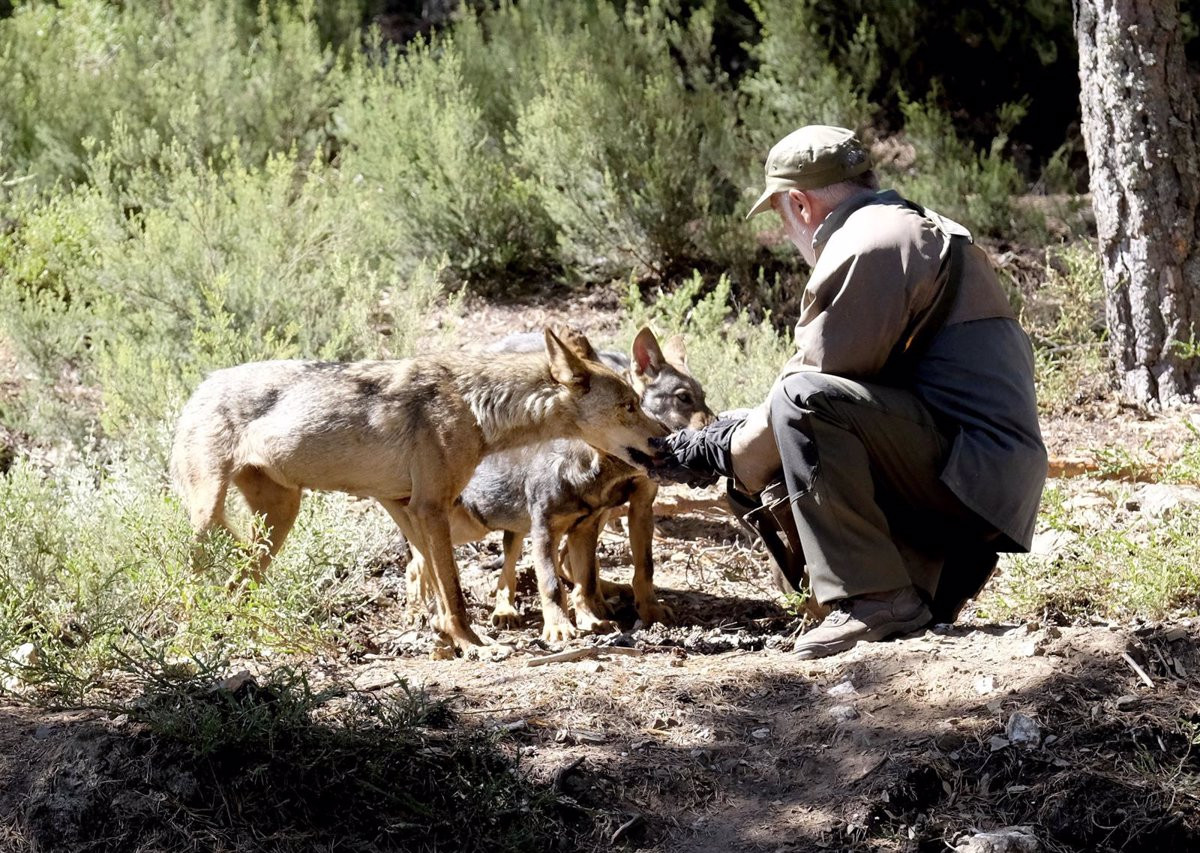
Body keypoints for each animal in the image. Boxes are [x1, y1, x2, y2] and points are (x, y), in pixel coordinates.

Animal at [169, 328, 667, 652]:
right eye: (629, 405)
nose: (663, 437)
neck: (475, 406)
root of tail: (200, 385)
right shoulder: (430, 507)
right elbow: (452, 588)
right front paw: (474, 644)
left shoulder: (409, 506)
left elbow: (435, 582)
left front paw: (447, 636)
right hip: (209, 522)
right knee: (191, 582)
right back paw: (188, 640)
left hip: (278, 521)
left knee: (236, 585)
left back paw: (242, 634)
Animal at [408, 326, 710, 643]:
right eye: (683, 398)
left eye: (703, 397)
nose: (664, 439)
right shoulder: (546, 531)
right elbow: (553, 585)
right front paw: (560, 627)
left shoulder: (616, 515)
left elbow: (624, 571)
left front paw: (624, 614)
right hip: (465, 525)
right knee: (419, 562)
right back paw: (422, 610)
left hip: (513, 526)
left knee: (508, 572)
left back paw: (508, 610)